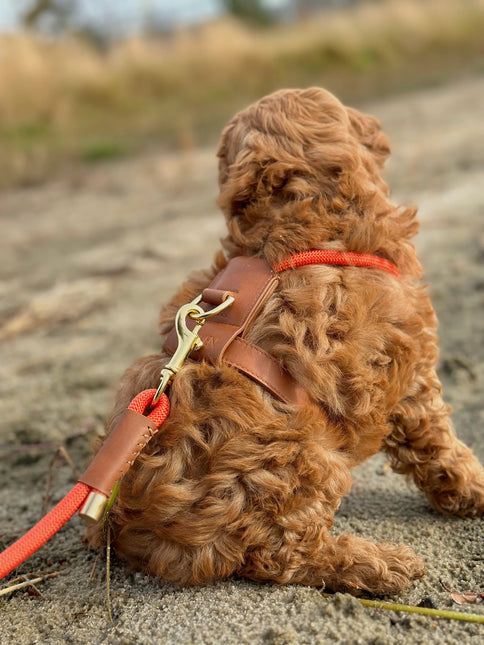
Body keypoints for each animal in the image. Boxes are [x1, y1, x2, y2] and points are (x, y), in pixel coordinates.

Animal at [87, 87, 484, 592]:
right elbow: (442, 446)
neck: (291, 227)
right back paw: (379, 564)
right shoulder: (410, 375)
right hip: (303, 460)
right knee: (282, 555)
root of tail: (130, 525)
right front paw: (476, 490)